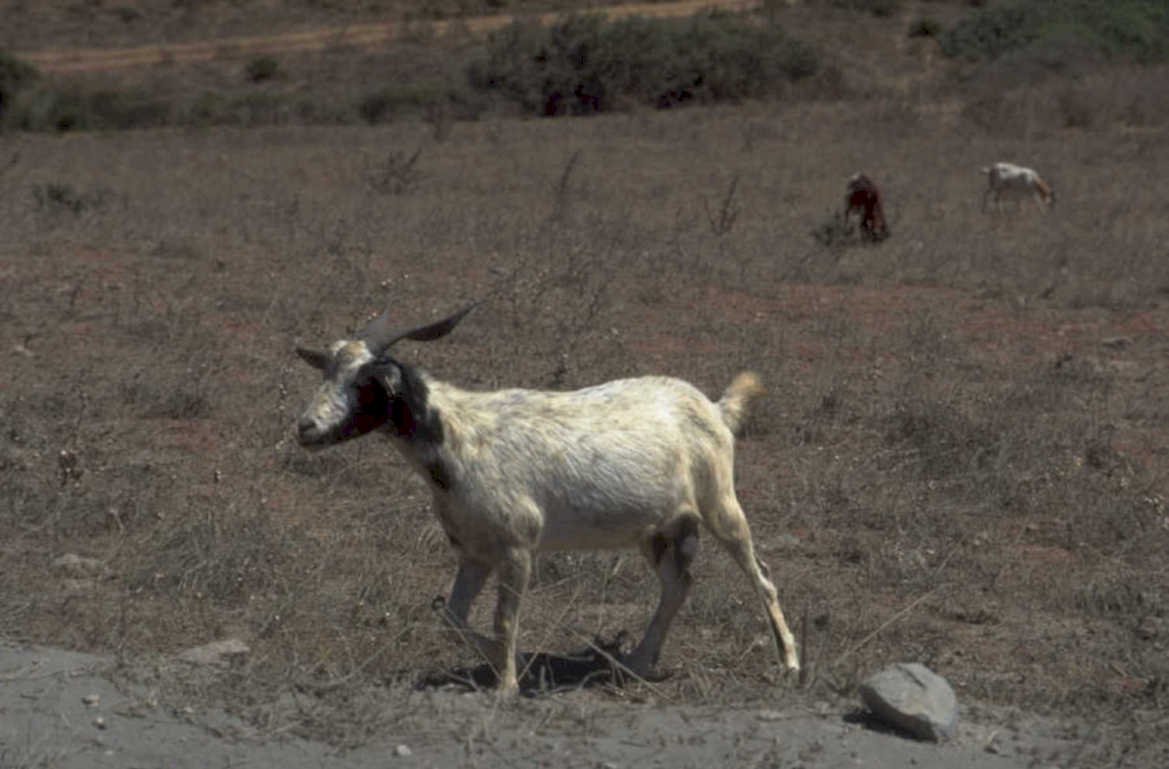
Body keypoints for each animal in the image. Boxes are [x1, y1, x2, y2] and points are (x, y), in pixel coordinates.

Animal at [294, 305, 799, 694]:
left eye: (367, 382)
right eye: (328, 371)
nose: (305, 428)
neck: (458, 437)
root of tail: (716, 408)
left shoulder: (518, 546)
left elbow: (503, 620)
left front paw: (507, 686)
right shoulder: (474, 552)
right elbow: (452, 616)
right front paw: (508, 665)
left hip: (720, 503)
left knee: (762, 576)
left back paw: (789, 664)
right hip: (658, 528)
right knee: (679, 584)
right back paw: (637, 663)